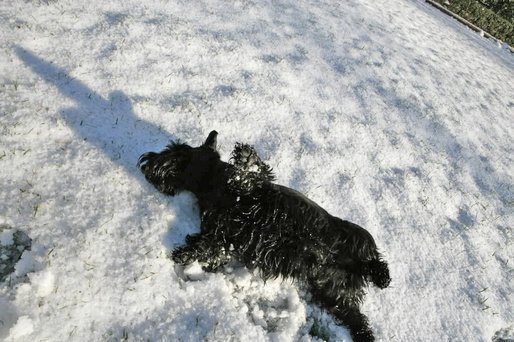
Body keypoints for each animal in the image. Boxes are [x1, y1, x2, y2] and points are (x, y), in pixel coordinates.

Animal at [137, 130, 388, 340]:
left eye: (174, 150)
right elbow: (210, 247)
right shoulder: (220, 237)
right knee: (358, 319)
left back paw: (382, 277)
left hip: (357, 236)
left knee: (375, 258)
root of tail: (355, 270)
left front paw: (244, 156)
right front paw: (184, 253)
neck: (212, 184)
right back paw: (366, 332)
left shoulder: (255, 185)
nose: (145, 161)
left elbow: (252, 170)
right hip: (334, 294)